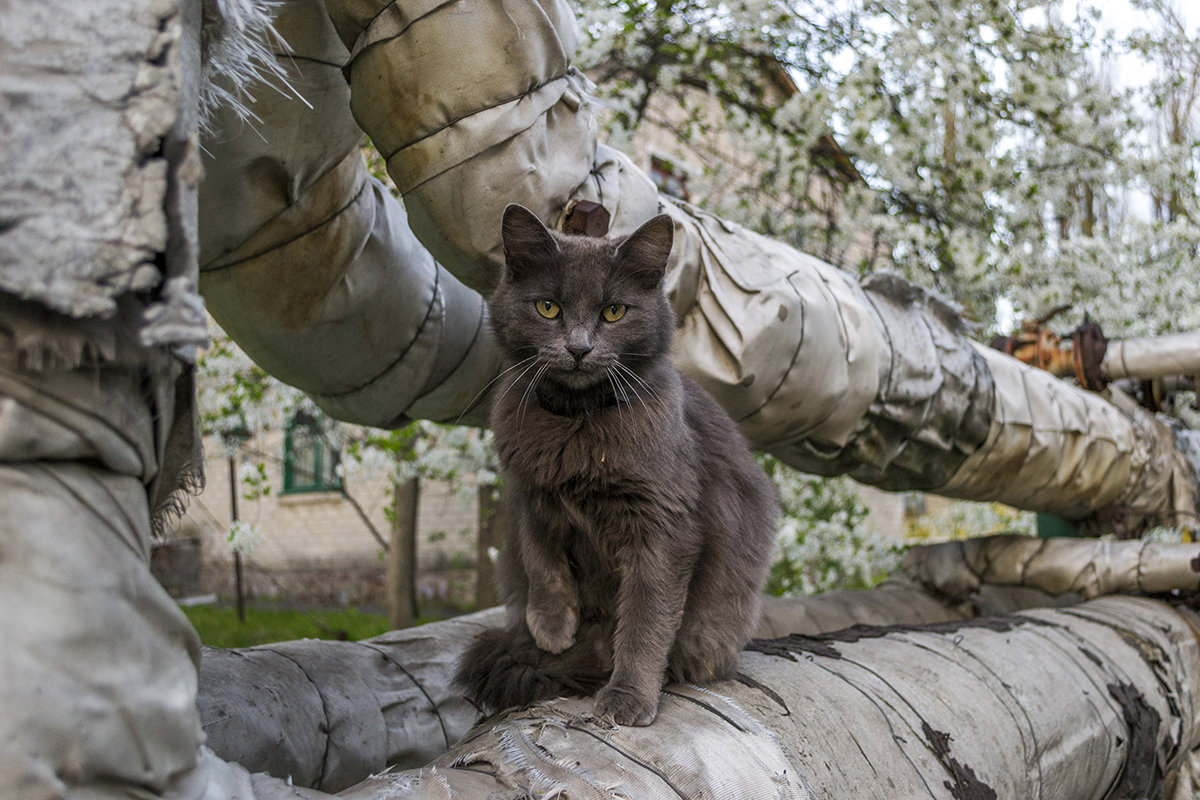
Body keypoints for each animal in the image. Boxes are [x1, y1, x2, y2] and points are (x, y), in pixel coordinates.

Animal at [451, 205, 777, 724]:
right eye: (548, 307)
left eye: (613, 311)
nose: (579, 347)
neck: (577, 424)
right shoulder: (530, 495)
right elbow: (541, 558)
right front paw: (551, 627)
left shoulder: (664, 524)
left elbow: (646, 619)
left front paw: (629, 695)